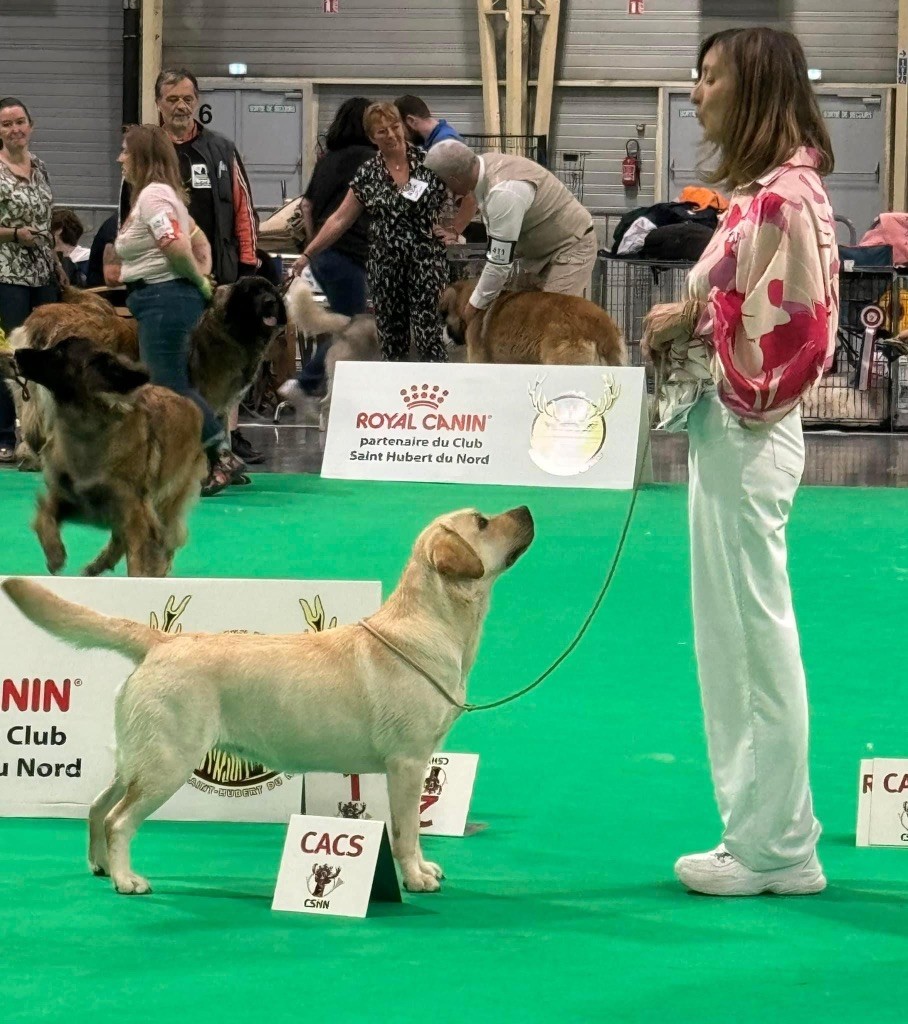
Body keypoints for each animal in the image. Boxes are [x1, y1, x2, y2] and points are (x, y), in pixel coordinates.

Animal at [3, 503, 536, 897]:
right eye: (483, 522)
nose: (527, 509)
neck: (434, 624)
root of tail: (162, 641)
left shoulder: (418, 762)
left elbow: (415, 832)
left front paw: (425, 868)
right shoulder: (406, 763)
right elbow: (407, 831)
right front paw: (416, 877)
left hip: (139, 757)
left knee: (97, 806)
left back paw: (99, 867)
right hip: (168, 762)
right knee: (118, 820)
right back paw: (126, 879)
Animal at [13, 335, 205, 577]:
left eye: (59, 353)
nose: (17, 353)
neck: (85, 431)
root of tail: (188, 402)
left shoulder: (133, 510)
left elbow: (138, 560)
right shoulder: (69, 497)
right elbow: (44, 514)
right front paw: (55, 554)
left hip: (167, 500)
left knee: (160, 539)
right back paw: (98, 565)